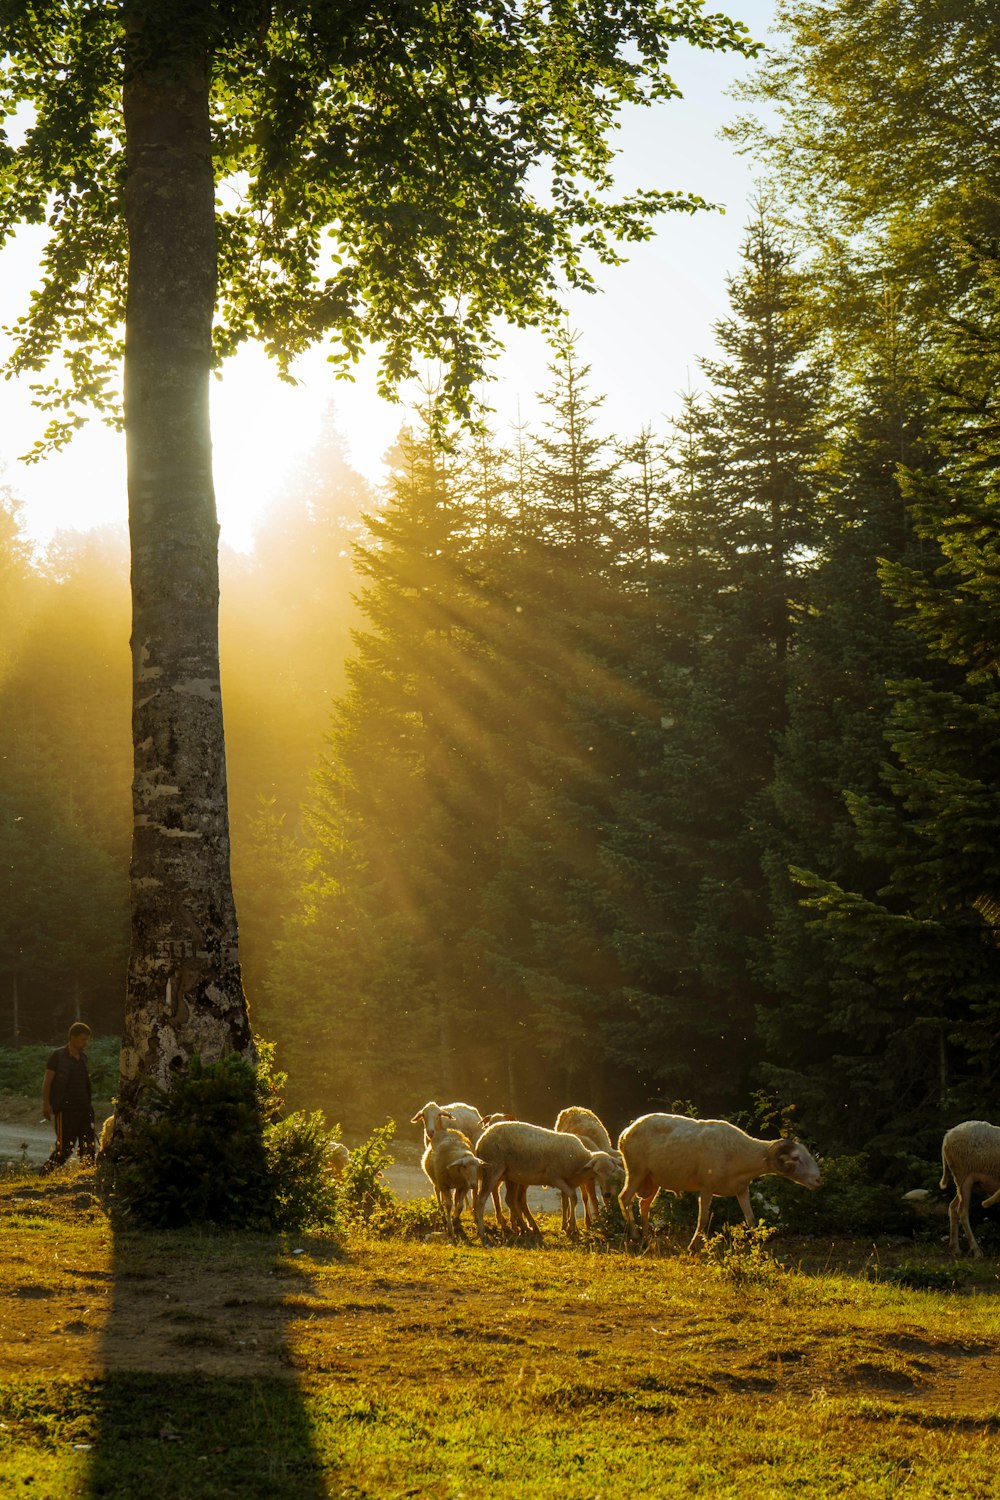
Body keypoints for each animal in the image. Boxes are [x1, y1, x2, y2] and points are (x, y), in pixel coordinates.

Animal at [473, 1122, 620, 1236]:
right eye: (597, 1171)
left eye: (612, 1171)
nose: (607, 1194)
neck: (579, 1160)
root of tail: (481, 1141)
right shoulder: (555, 1177)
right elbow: (573, 1197)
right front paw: (571, 1227)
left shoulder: (569, 1182)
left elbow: (567, 1201)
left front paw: (568, 1226)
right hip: (493, 1169)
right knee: (481, 1200)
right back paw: (482, 1231)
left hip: (511, 1176)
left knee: (510, 1200)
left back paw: (525, 1228)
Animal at [617, 1110, 821, 1248]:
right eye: (796, 1158)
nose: (818, 1180)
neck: (743, 1154)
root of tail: (625, 1132)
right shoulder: (707, 1188)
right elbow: (703, 1219)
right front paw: (692, 1247)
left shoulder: (742, 1189)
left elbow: (751, 1220)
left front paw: (757, 1246)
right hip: (636, 1171)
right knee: (625, 1198)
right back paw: (635, 1236)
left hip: (653, 1179)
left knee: (644, 1205)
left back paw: (646, 1238)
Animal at [941, 1122, 1000, 1260]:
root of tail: (947, 1135)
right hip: (964, 1178)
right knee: (962, 1212)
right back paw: (977, 1251)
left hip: (965, 1183)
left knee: (952, 1207)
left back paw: (955, 1249)